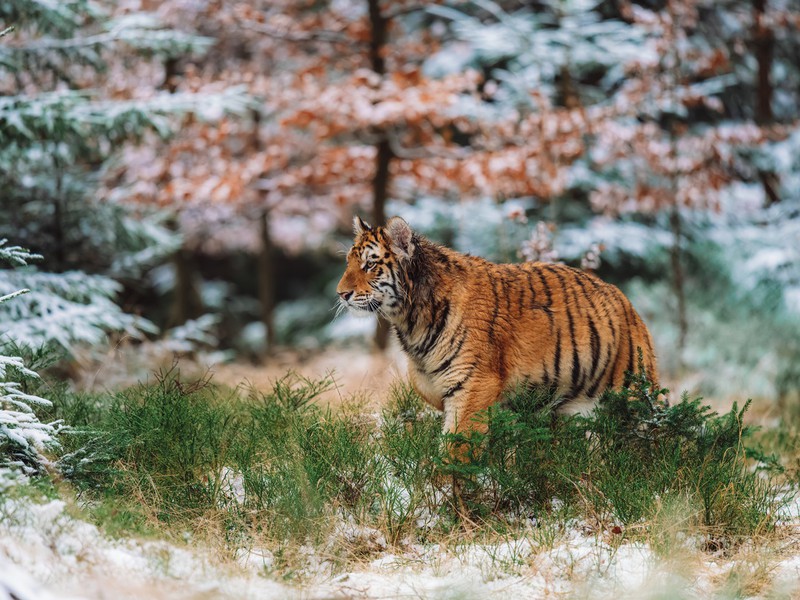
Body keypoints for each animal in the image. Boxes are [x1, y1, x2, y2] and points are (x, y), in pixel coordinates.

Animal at [336, 218, 656, 434]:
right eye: (349, 263)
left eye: (369, 265)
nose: (341, 294)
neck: (411, 319)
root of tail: (627, 303)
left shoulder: (473, 384)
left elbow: (455, 448)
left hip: (636, 396)